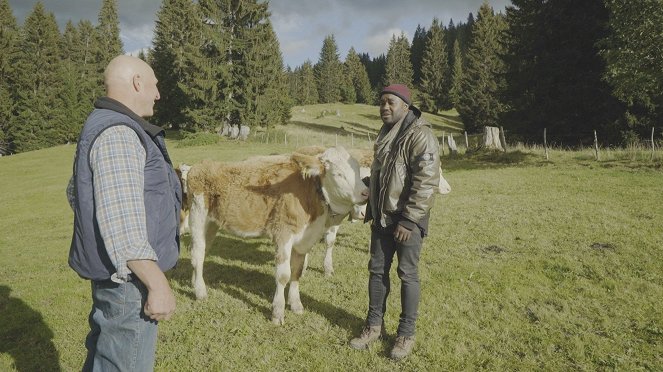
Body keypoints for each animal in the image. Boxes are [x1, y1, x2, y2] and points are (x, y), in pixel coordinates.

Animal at [185, 147, 368, 324]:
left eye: (357, 169)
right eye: (338, 174)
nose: (366, 193)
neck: (309, 193)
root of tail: (200, 165)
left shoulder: (304, 240)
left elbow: (297, 272)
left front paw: (296, 304)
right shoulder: (283, 234)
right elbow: (283, 275)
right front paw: (278, 312)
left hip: (212, 225)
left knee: (202, 252)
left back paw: (194, 283)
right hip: (197, 216)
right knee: (197, 254)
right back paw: (200, 292)